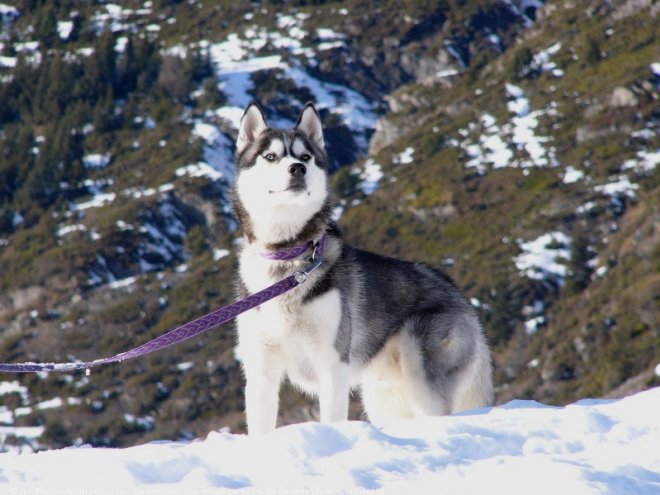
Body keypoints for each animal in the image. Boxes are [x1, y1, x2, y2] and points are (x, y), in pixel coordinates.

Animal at [229, 101, 492, 434]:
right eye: (270, 156)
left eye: (305, 156)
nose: (297, 168)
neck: (287, 256)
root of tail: (458, 294)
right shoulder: (261, 370)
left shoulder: (332, 364)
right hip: (384, 398)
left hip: (424, 380)